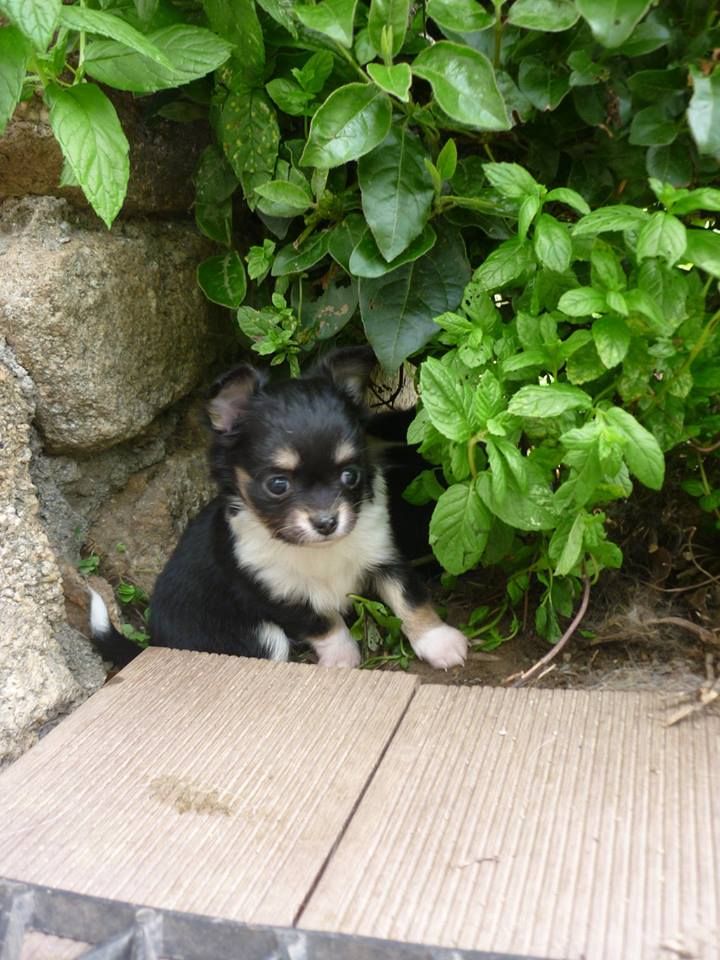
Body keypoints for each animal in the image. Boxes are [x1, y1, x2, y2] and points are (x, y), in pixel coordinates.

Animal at [90, 348, 470, 672]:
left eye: (350, 475)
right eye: (278, 485)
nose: (326, 522)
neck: (315, 551)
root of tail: (154, 642)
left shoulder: (384, 556)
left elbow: (409, 599)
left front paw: (438, 641)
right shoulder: (275, 592)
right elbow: (321, 623)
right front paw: (342, 659)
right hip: (260, 637)